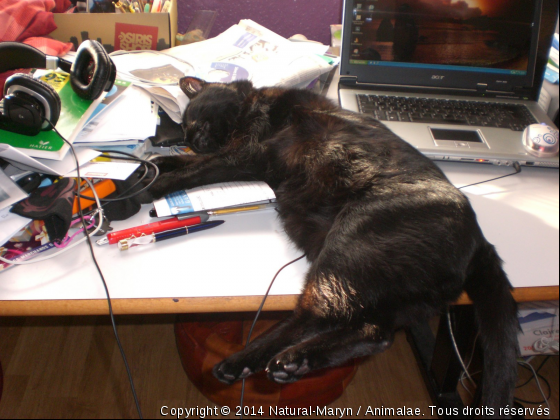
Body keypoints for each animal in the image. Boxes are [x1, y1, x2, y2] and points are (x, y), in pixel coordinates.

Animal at [147, 75, 520, 414]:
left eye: (194, 119)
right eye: (184, 130)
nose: (192, 139)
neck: (254, 105)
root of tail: (481, 241)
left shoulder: (248, 155)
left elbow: (197, 171)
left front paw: (153, 185)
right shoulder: (236, 154)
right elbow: (191, 163)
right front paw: (155, 163)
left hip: (347, 250)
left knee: (316, 317)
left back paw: (256, 361)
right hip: (398, 297)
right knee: (375, 333)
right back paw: (290, 363)